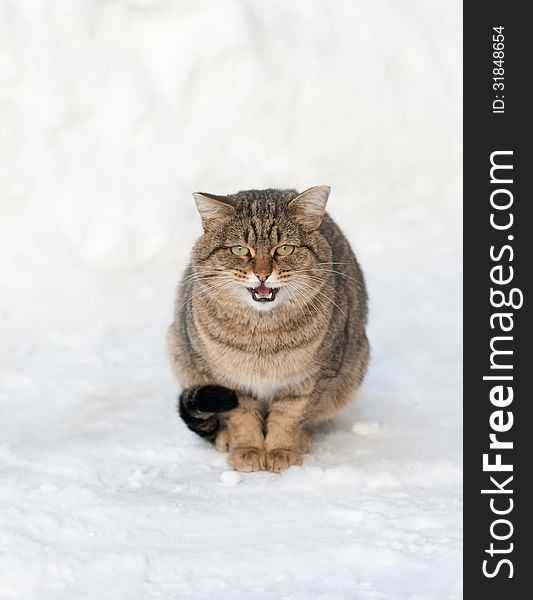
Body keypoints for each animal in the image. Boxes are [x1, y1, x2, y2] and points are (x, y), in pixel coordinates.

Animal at [168, 188, 368, 474]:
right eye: (240, 249)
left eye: (284, 248)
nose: (262, 274)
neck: (263, 336)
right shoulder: (225, 379)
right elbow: (241, 417)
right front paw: (248, 449)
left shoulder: (311, 378)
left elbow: (288, 416)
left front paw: (280, 450)